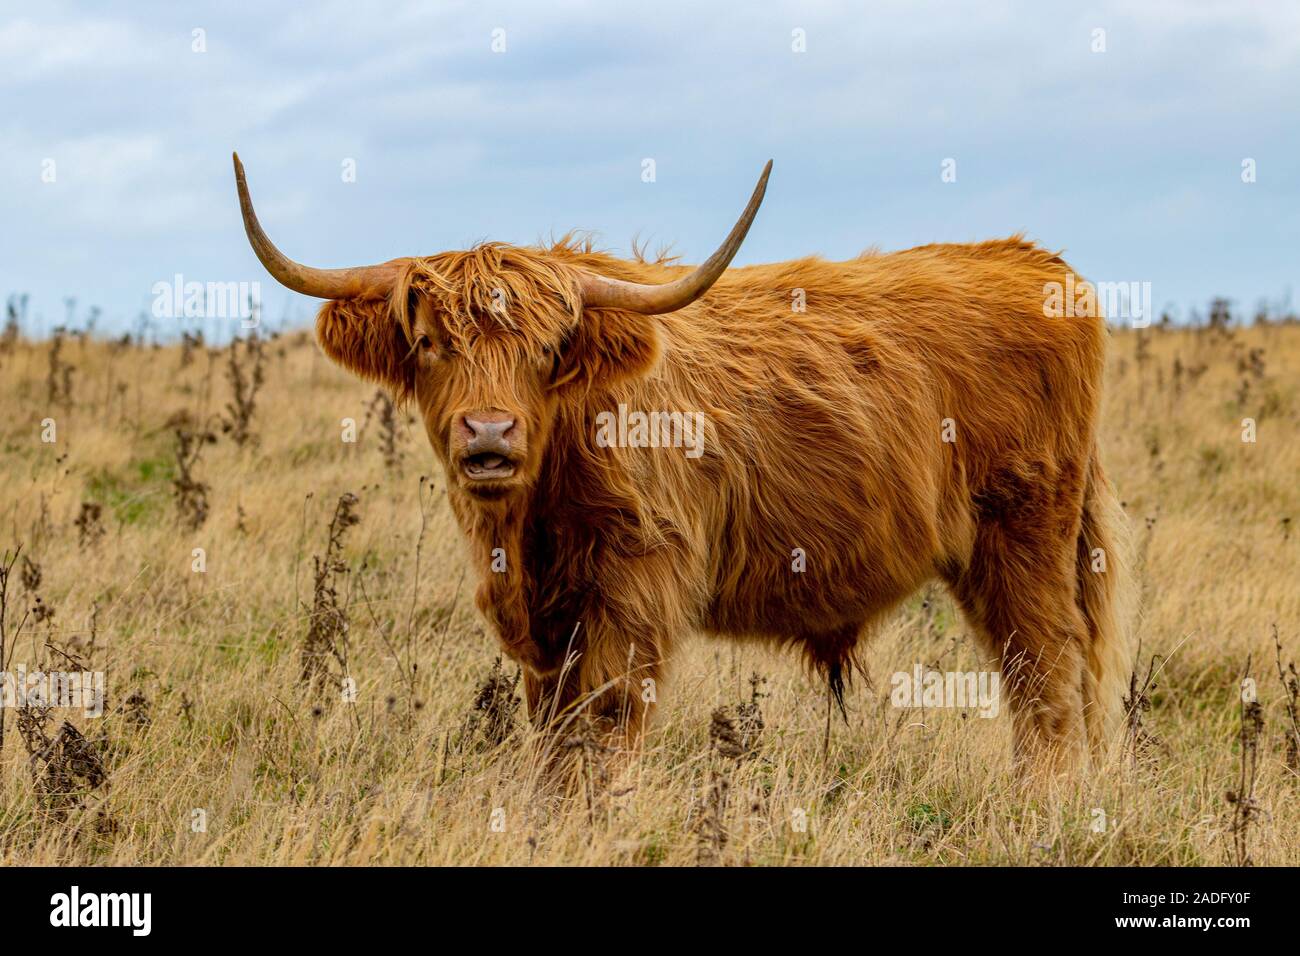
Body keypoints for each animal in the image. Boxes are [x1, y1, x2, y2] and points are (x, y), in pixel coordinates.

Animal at [233, 153, 1133, 776]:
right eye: (428, 343)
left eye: (548, 351)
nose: (489, 436)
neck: (528, 527)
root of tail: (1032, 259)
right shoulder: (544, 624)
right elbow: (553, 737)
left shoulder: (637, 584)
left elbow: (605, 725)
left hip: (1025, 536)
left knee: (1046, 674)